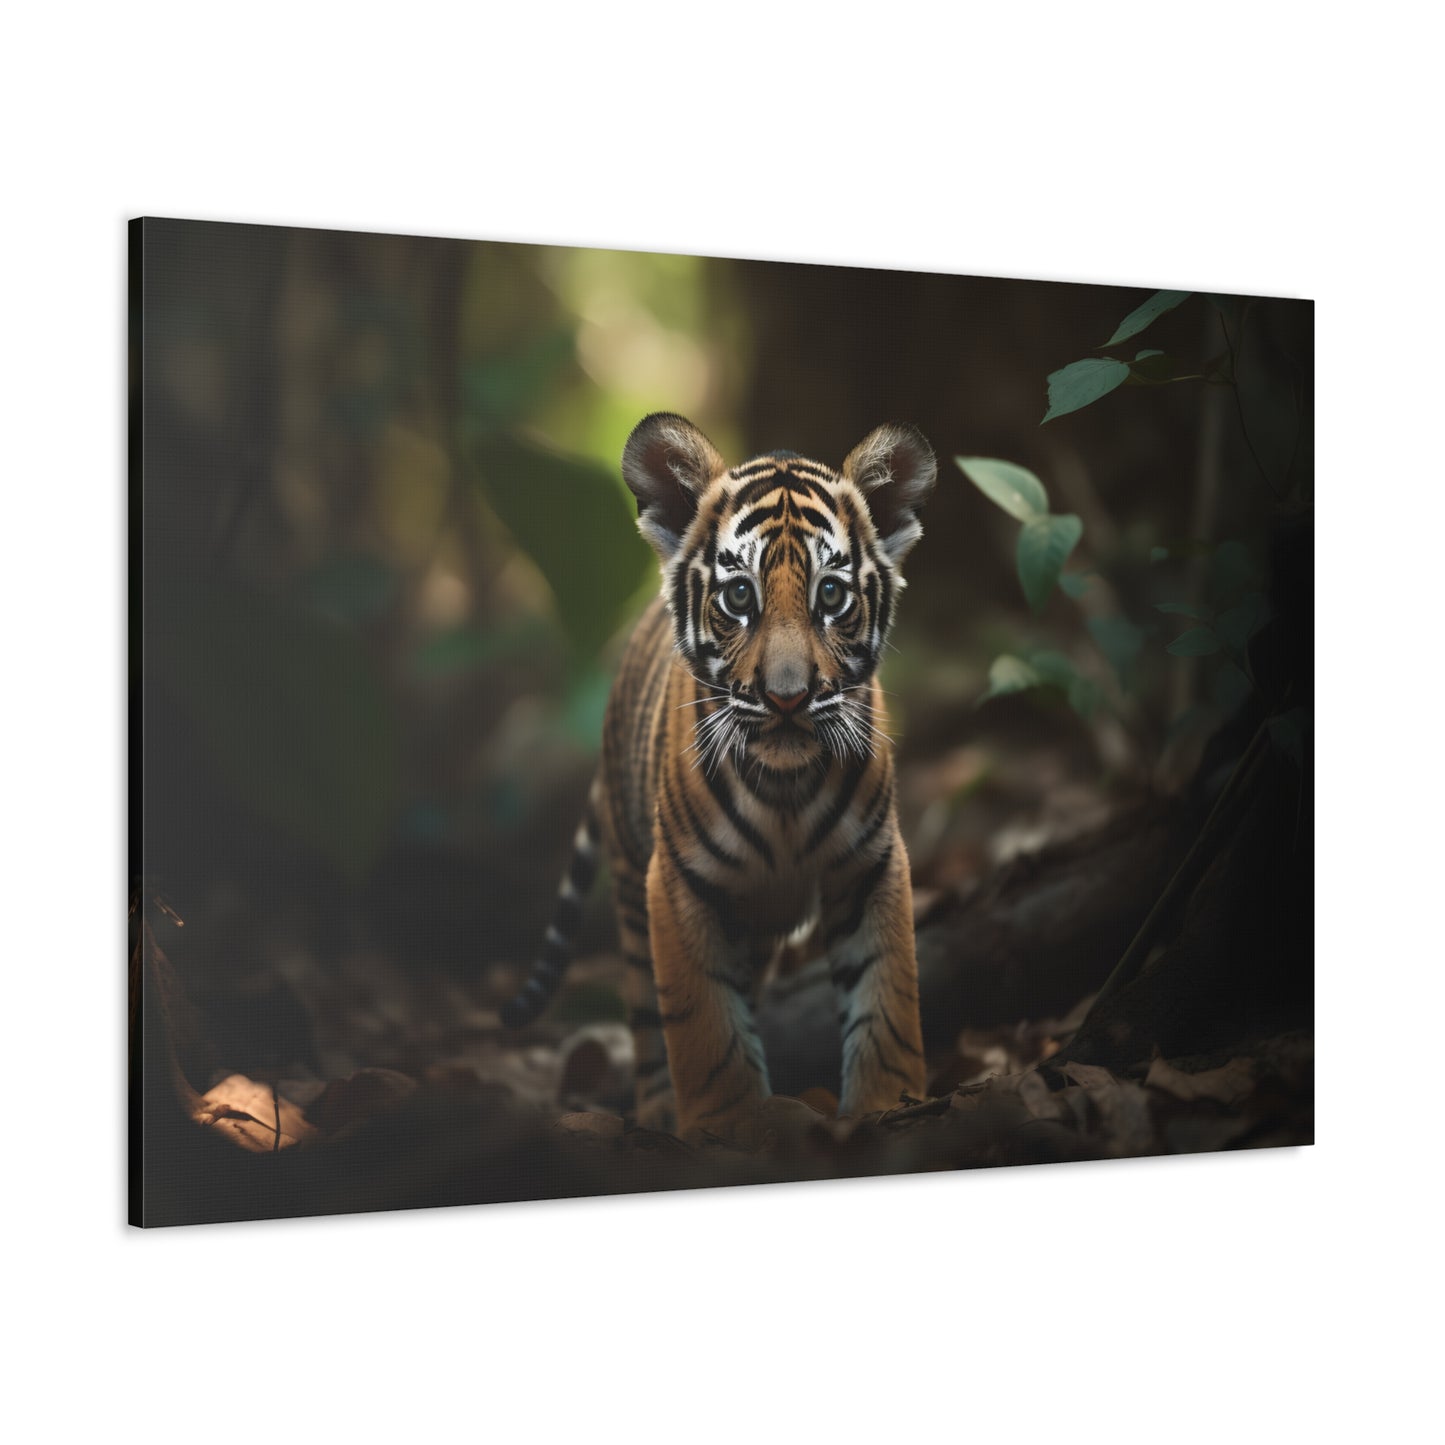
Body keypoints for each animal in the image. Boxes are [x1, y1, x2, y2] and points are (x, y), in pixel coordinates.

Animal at [502, 412, 936, 1144]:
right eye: (739, 596)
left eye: (830, 594)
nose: (788, 697)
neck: (786, 790)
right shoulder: (680, 882)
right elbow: (702, 1019)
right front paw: (729, 1122)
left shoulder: (869, 862)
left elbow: (887, 992)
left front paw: (891, 1104)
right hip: (632, 884)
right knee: (649, 1021)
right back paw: (656, 1114)